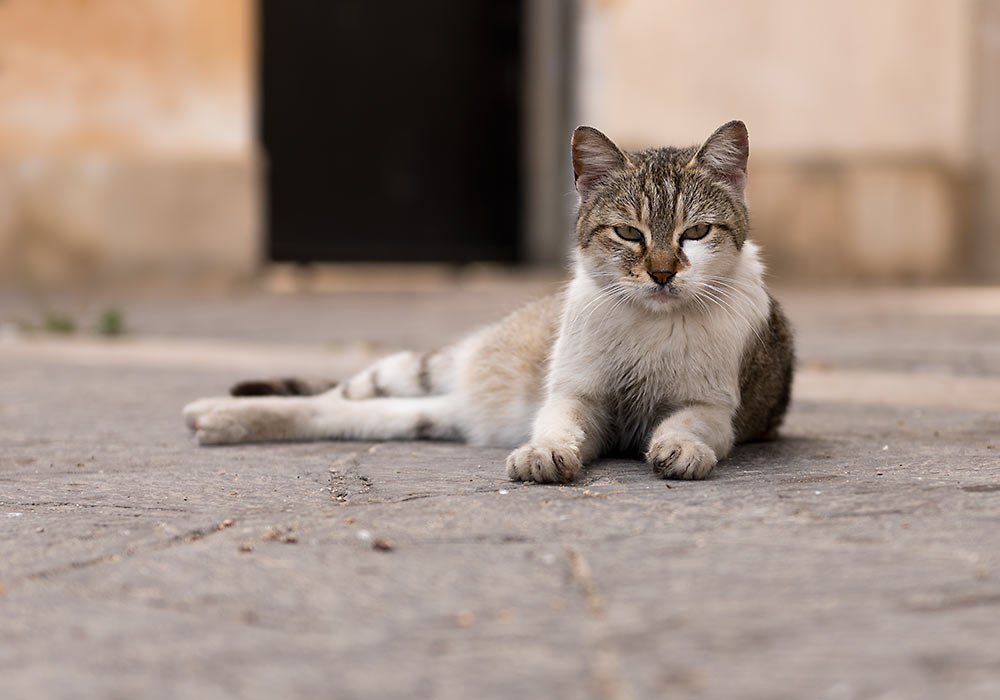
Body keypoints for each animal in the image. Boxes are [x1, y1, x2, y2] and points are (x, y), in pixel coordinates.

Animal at [184, 120, 792, 482]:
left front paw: (680, 448)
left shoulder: (715, 408)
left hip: (425, 414)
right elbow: (558, 426)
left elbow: (691, 426)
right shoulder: (575, 396)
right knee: (336, 395)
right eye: (628, 234)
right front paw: (544, 452)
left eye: (696, 232)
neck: (650, 324)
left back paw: (218, 419)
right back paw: (211, 411)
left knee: (346, 415)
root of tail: (466, 401)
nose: (663, 274)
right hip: (422, 370)